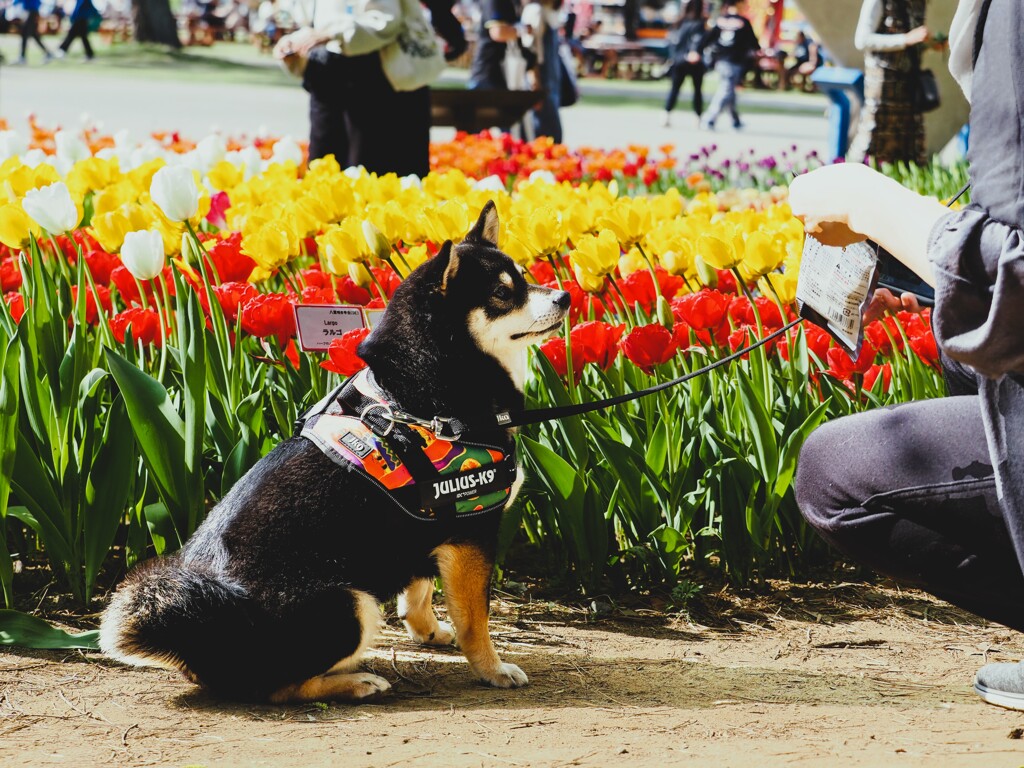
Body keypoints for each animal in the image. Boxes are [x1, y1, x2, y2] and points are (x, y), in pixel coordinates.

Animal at [98, 204, 573, 704]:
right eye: (503, 293)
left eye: (525, 278)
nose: (565, 297)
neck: (424, 401)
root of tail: (207, 635)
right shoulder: (470, 532)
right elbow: (475, 621)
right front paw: (492, 669)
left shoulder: (422, 518)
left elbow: (418, 590)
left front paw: (427, 631)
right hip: (350, 602)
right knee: (283, 687)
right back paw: (356, 682)